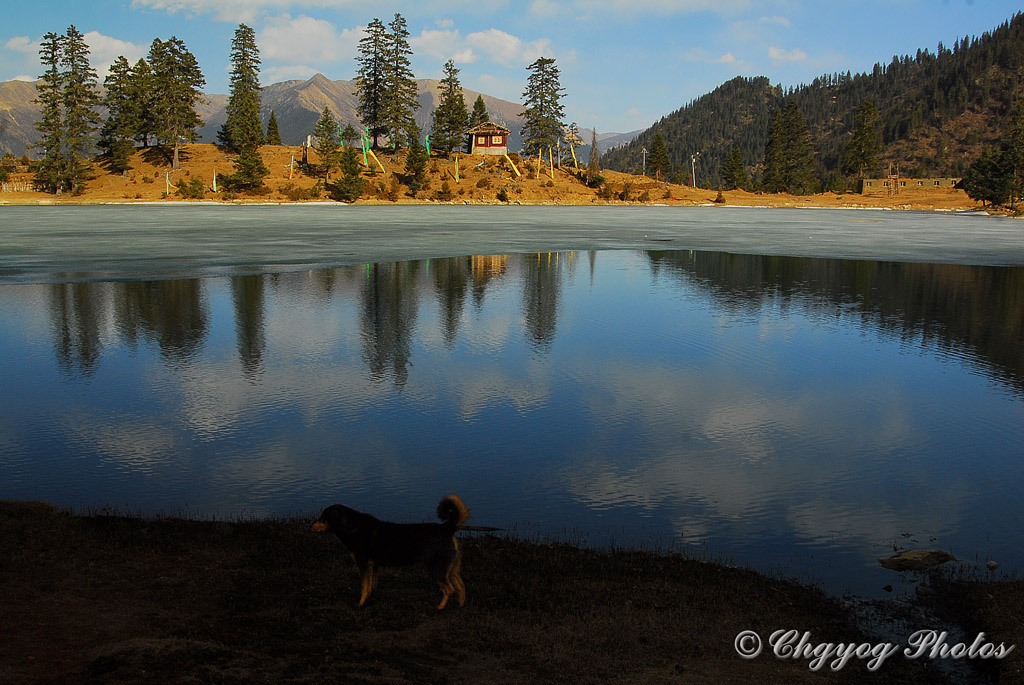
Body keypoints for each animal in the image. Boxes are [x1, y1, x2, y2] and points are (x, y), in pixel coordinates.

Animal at [313, 491, 468, 610]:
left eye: (323, 519)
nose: (311, 526)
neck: (353, 527)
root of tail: (447, 528)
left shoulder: (363, 564)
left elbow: (364, 586)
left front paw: (360, 604)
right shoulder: (373, 566)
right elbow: (371, 585)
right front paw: (369, 599)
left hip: (436, 570)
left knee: (449, 589)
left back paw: (440, 607)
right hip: (451, 569)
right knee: (461, 586)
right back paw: (460, 605)